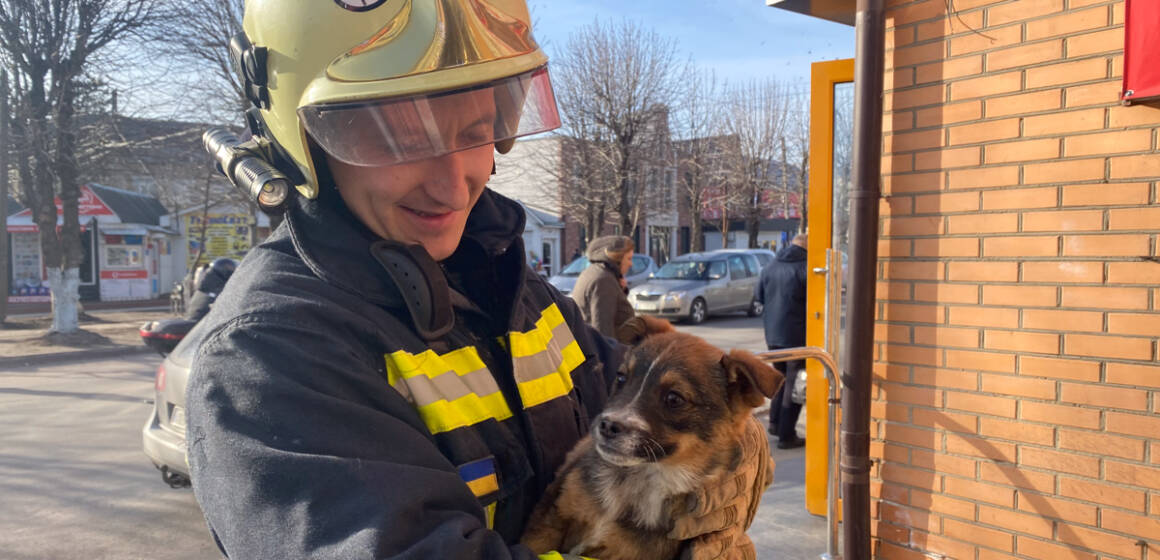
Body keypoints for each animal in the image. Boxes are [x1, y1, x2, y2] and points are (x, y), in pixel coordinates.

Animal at [522, 320, 784, 560]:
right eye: (621, 378)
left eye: (674, 399)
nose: (606, 425)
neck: (639, 480)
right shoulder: (550, 518)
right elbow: (534, 541)